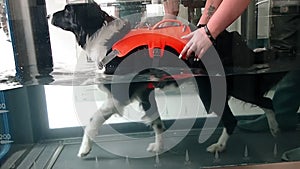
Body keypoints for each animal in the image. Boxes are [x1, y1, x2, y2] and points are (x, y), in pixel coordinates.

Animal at [51, 1, 284, 157]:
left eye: (68, 10)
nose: (49, 16)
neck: (103, 35)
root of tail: (233, 39)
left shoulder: (120, 94)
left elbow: (92, 120)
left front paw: (84, 149)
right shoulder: (144, 91)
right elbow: (157, 122)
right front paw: (159, 147)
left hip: (214, 88)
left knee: (235, 117)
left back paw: (220, 146)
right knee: (266, 101)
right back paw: (274, 129)